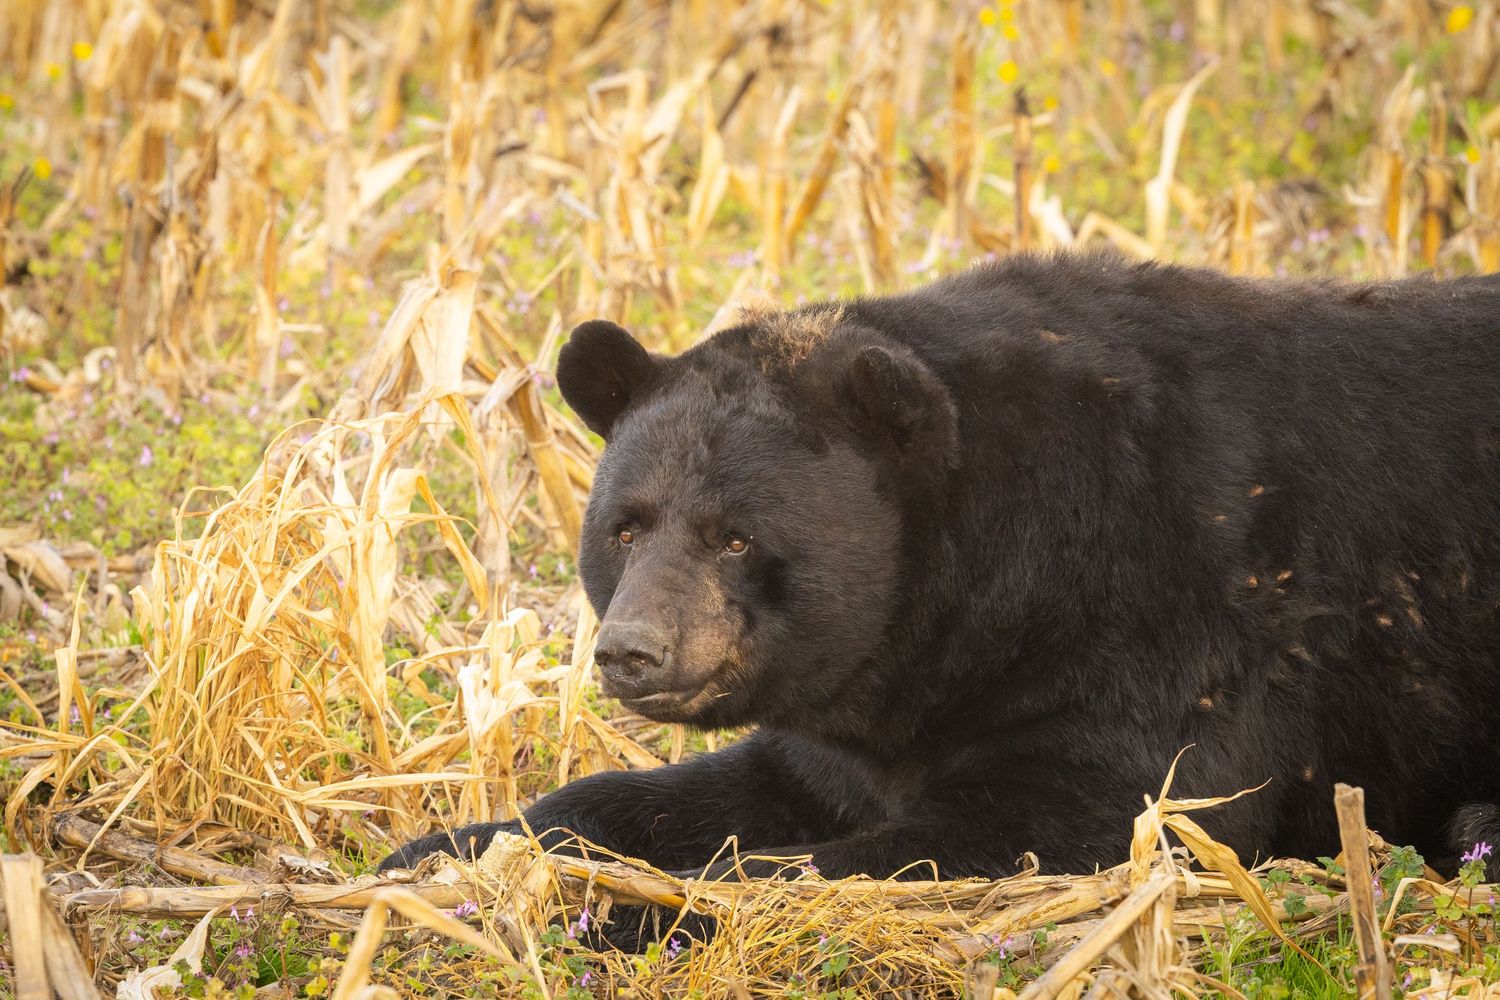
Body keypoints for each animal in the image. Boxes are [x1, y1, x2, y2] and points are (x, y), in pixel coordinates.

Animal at [382, 250, 1500, 897]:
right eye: (625, 527)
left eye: (734, 536)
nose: (633, 651)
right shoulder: (858, 713)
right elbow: (721, 784)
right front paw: (442, 849)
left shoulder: (1179, 621)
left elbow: (1089, 811)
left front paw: (643, 904)